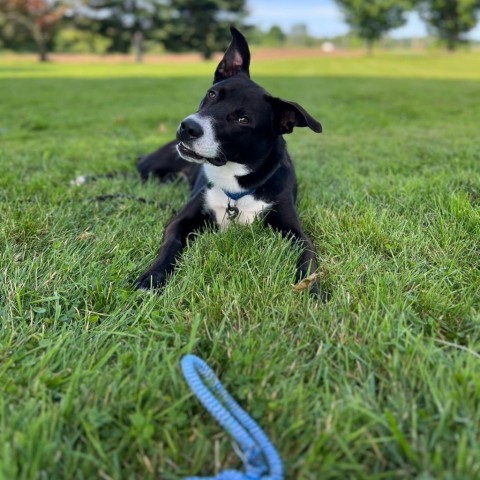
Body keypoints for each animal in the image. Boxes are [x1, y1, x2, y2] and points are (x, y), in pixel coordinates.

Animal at [135, 27, 324, 296]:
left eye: (243, 119)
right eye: (212, 94)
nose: (187, 127)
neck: (234, 182)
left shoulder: (295, 229)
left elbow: (308, 256)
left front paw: (312, 290)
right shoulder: (182, 219)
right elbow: (170, 243)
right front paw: (152, 277)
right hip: (151, 167)